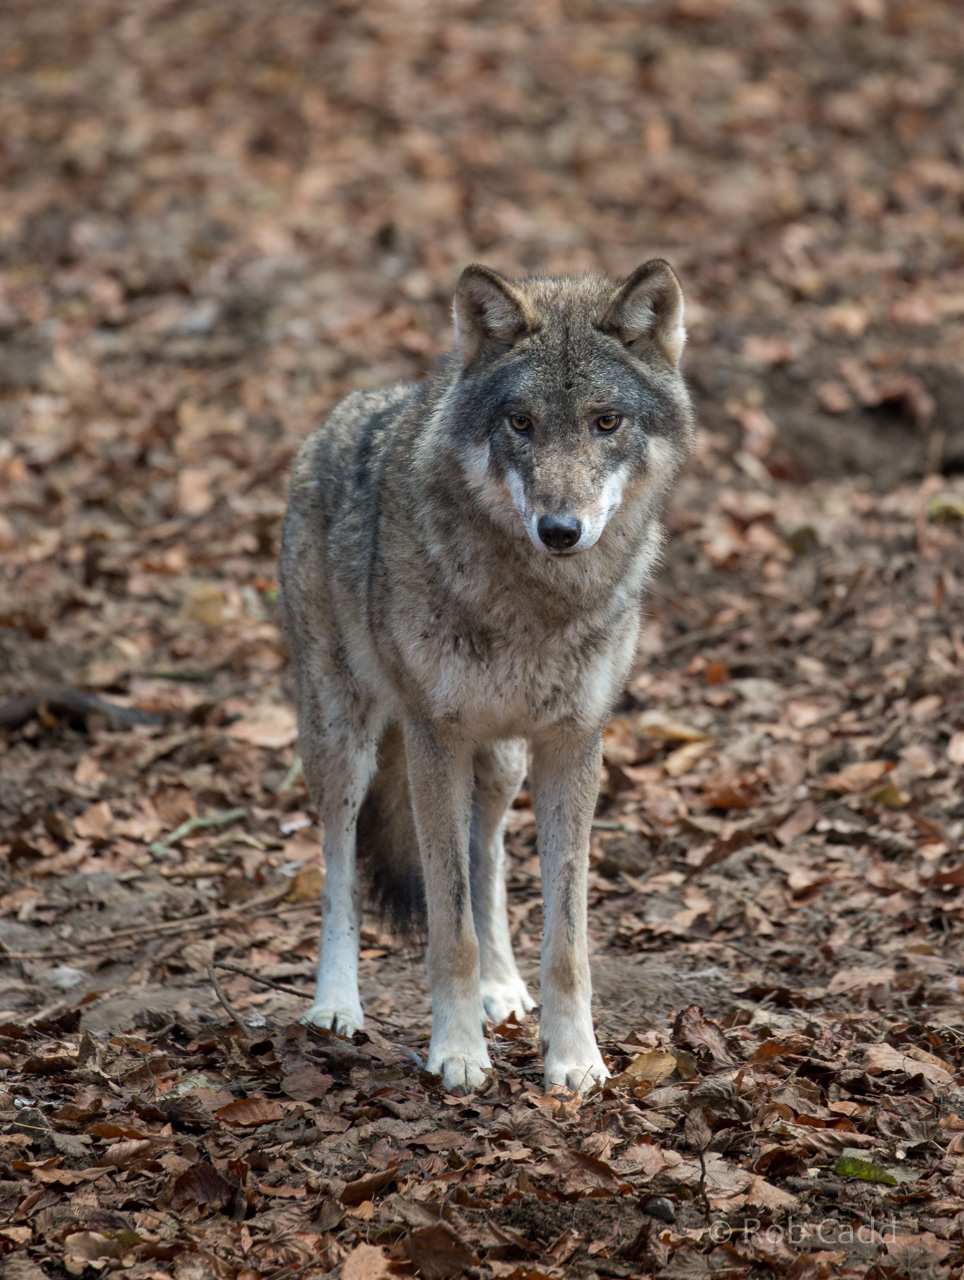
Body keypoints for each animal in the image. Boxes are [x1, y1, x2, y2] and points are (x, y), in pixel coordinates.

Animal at [278, 261, 695, 1092]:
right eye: (521, 423)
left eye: (606, 422)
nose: (561, 530)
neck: (536, 604)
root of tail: (337, 417)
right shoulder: (434, 739)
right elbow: (449, 927)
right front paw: (459, 1052)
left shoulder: (573, 744)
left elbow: (564, 939)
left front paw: (575, 1060)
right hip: (347, 740)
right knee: (341, 869)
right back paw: (335, 1007)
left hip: (498, 762)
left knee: (489, 859)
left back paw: (504, 988)